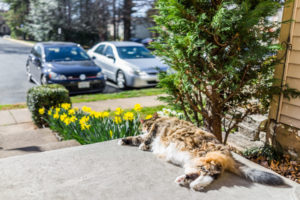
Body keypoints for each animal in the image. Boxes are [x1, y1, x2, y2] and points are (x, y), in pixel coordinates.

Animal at [118, 115, 284, 191]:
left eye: (145, 124)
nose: (143, 127)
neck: (159, 119)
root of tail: (229, 154)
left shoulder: (154, 130)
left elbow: (145, 139)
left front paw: (141, 145)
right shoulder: (146, 134)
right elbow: (136, 138)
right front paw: (123, 140)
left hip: (204, 159)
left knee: (211, 174)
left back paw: (194, 184)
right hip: (193, 162)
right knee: (206, 174)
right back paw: (186, 180)